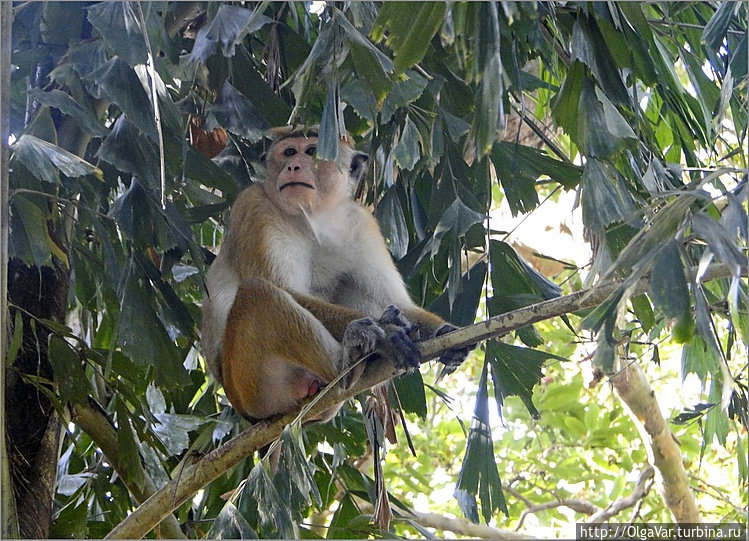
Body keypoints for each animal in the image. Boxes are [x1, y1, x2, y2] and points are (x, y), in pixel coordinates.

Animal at [199, 124, 468, 420]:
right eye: (289, 152)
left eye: (311, 151)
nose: (293, 166)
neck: (313, 215)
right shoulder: (253, 207)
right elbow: (285, 289)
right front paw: (387, 334)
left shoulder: (362, 222)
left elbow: (397, 301)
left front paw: (442, 332)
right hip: (250, 386)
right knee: (258, 294)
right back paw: (347, 365)